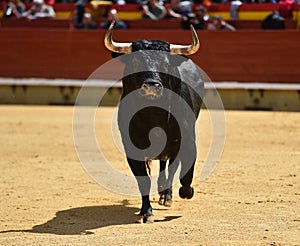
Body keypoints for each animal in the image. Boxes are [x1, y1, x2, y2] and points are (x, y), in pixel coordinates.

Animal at [104, 22, 205, 223]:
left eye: (166, 64)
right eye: (135, 62)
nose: (151, 85)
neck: (154, 114)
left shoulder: (188, 142)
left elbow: (186, 173)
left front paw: (186, 192)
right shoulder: (132, 148)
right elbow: (143, 179)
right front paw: (146, 212)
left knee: (172, 166)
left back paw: (167, 196)